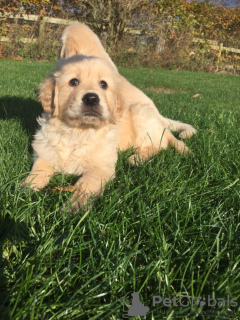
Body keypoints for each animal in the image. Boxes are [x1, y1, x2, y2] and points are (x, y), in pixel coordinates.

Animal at [23, 55, 123, 210]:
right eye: (74, 82)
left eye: (103, 84)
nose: (91, 98)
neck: (79, 131)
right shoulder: (46, 153)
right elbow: (38, 171)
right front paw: (26, 188)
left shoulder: (102, 167)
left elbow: (86, 185)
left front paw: (75, 206)